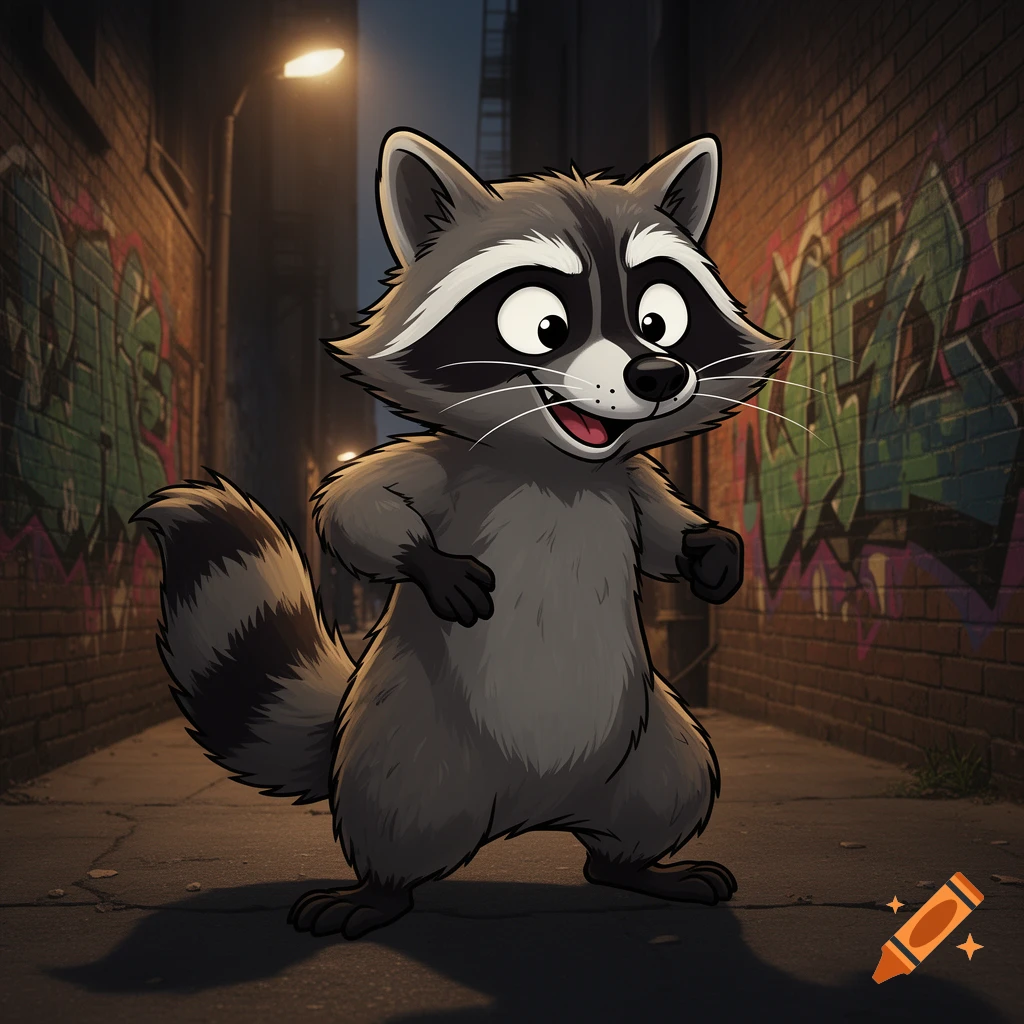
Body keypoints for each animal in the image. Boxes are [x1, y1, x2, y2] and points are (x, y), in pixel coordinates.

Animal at [133, 128, 790, 940]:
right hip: (405, 749)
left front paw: (709, 550)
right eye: (545, 325)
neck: (558, 464)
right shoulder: (450, 465)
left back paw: (638, 868)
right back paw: (380, 891)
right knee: (393, 819)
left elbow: (662, 533)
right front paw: (427, 561)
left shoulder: (627, 482)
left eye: (659, 320)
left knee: (662, 801)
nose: (659, 374)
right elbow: (355, 504)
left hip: (652, 745)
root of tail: (537, 808)